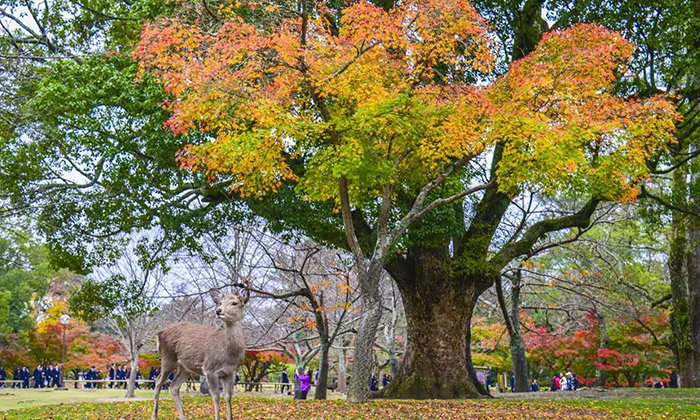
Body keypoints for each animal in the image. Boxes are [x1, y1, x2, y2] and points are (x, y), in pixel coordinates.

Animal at [151, 288, 249, 420]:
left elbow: (228, 397)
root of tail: (159, 333)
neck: (228, 354)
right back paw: (154, 416)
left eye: (235, 303)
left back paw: (183, 417)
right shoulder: (210, 369)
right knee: (158, 381)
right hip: (168, 358)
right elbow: (216, 397)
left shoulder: (231, 372)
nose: (218, 311)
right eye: (220, 303)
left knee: (174, 385)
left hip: (185, 367)